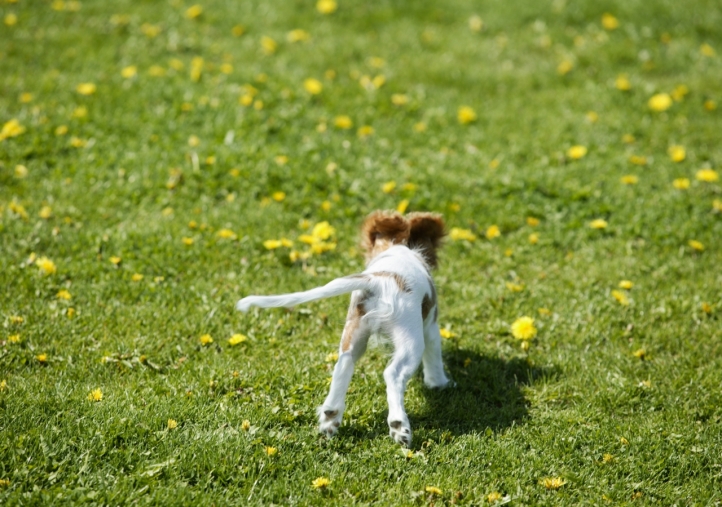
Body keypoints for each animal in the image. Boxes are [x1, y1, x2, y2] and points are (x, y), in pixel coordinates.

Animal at [236, 209, 450, 444]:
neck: (399, 248)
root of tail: (378, 279)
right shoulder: (431, 327)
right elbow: (434, 358)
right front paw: (439, 383)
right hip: (410, 337)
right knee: (393, 373)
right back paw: (399, 426)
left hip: (354, 330)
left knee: (344, 364)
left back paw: (330, 417)